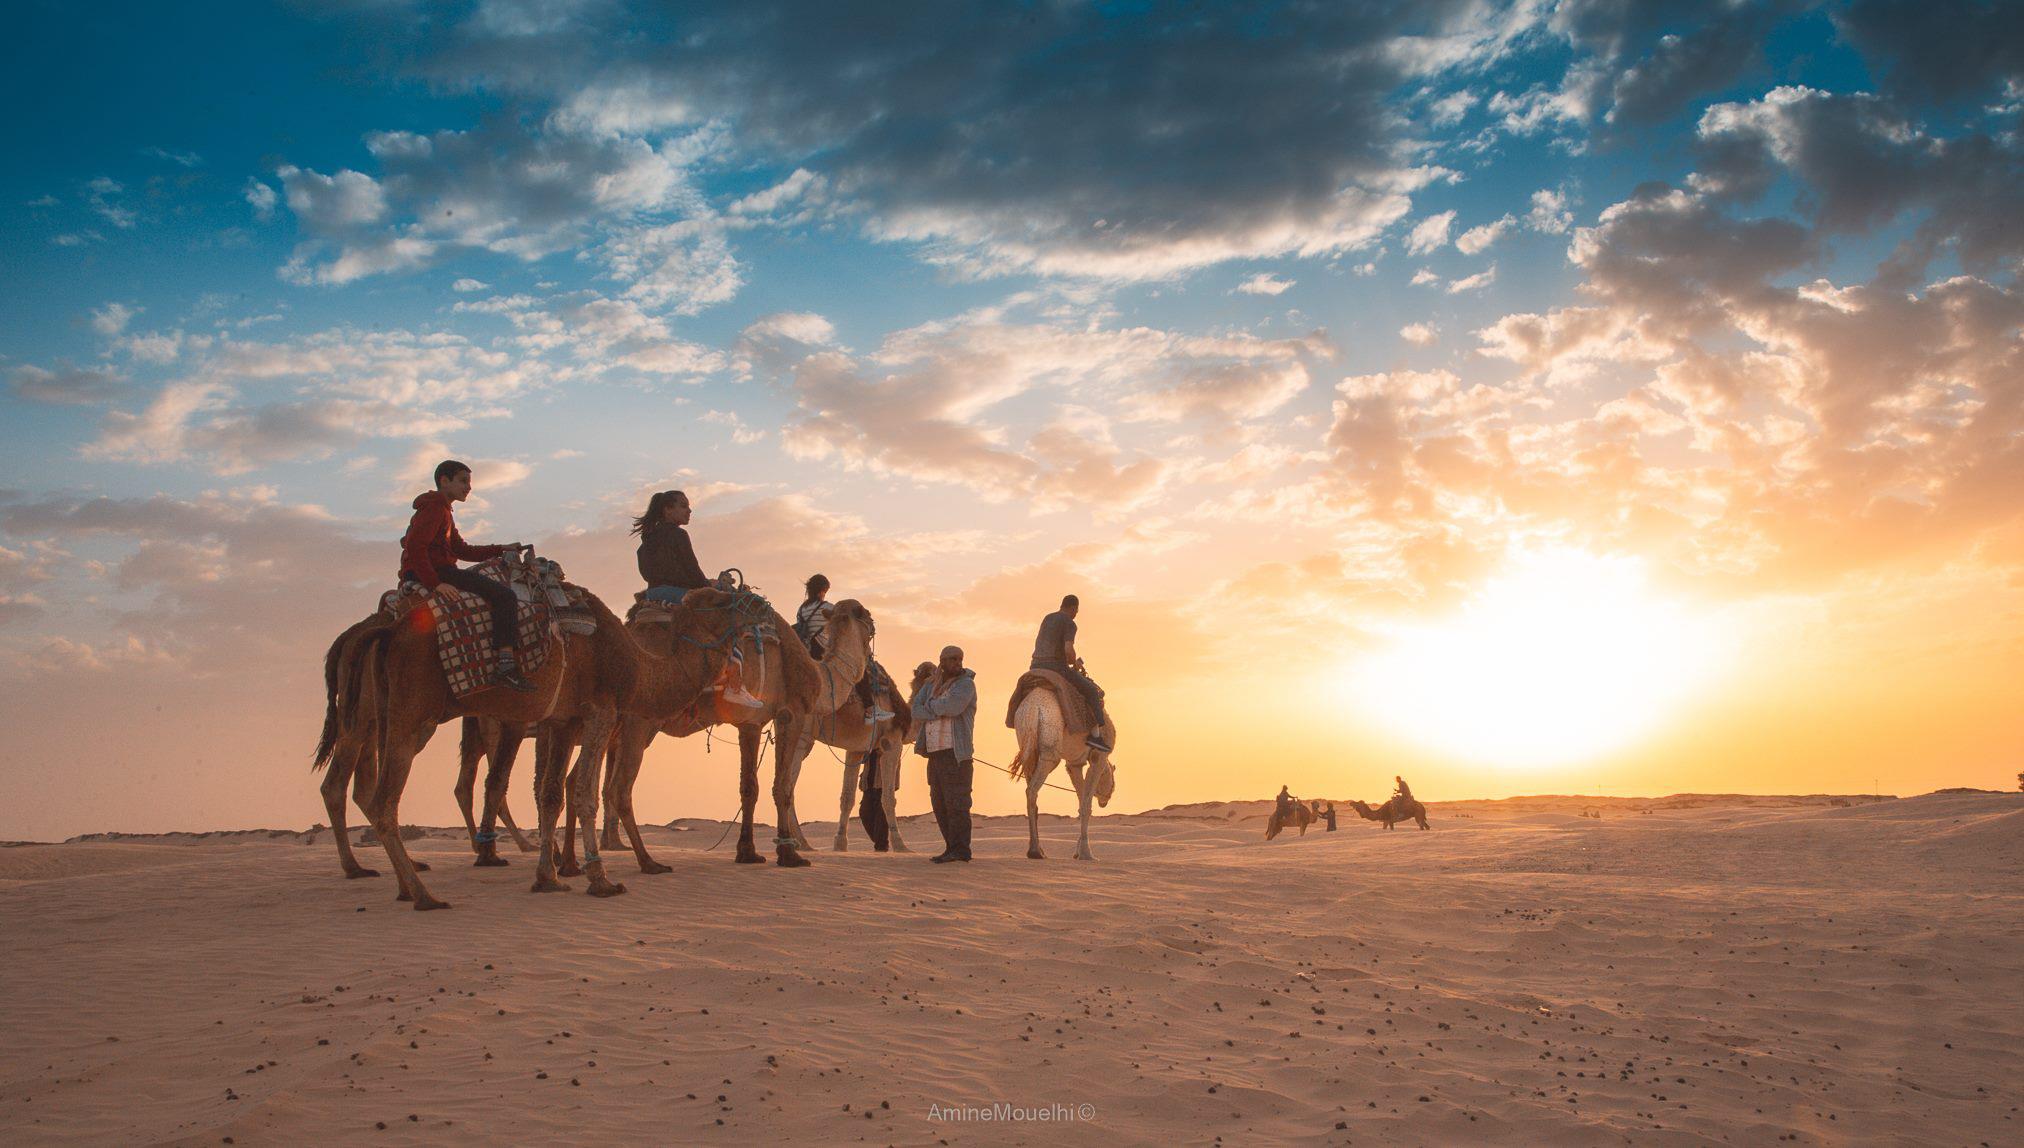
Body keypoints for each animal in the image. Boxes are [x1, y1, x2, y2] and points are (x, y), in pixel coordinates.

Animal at [342, 587, 736, 911]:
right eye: (719, 601)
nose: (749, 603)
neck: (637, 665)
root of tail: (389, 631)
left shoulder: (564, 722)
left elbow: (551, 794)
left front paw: (549, 877)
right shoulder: (602, 711)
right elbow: (586, 792)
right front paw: (602, 879)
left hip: (395, 712)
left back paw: (411, 885)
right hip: (414, 714)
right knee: (388, 799)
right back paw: (426, 894)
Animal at [595, 591, 874, 870]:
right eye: (866, 616)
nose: (872, 628)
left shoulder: (752, 723)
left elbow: (749, 787)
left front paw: (747, 852)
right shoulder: (790, 713)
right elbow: (782, 786)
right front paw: (789, 854)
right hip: (639, 720)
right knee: (619, 788)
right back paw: (648, 862)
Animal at [1011, 688, 1125, 858]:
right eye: (1113, 784)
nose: (1105, 801)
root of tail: (1032, 709)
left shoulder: (1074, 764)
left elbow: (1081, 800)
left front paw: (1078, 853)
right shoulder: (1098, 758)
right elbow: (1086, 803)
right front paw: (1086, 853)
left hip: (1028, 748)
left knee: (1030, 789)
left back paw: (1038, 850)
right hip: (1050, 753)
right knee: (1031, 790)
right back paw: (1035, 851)